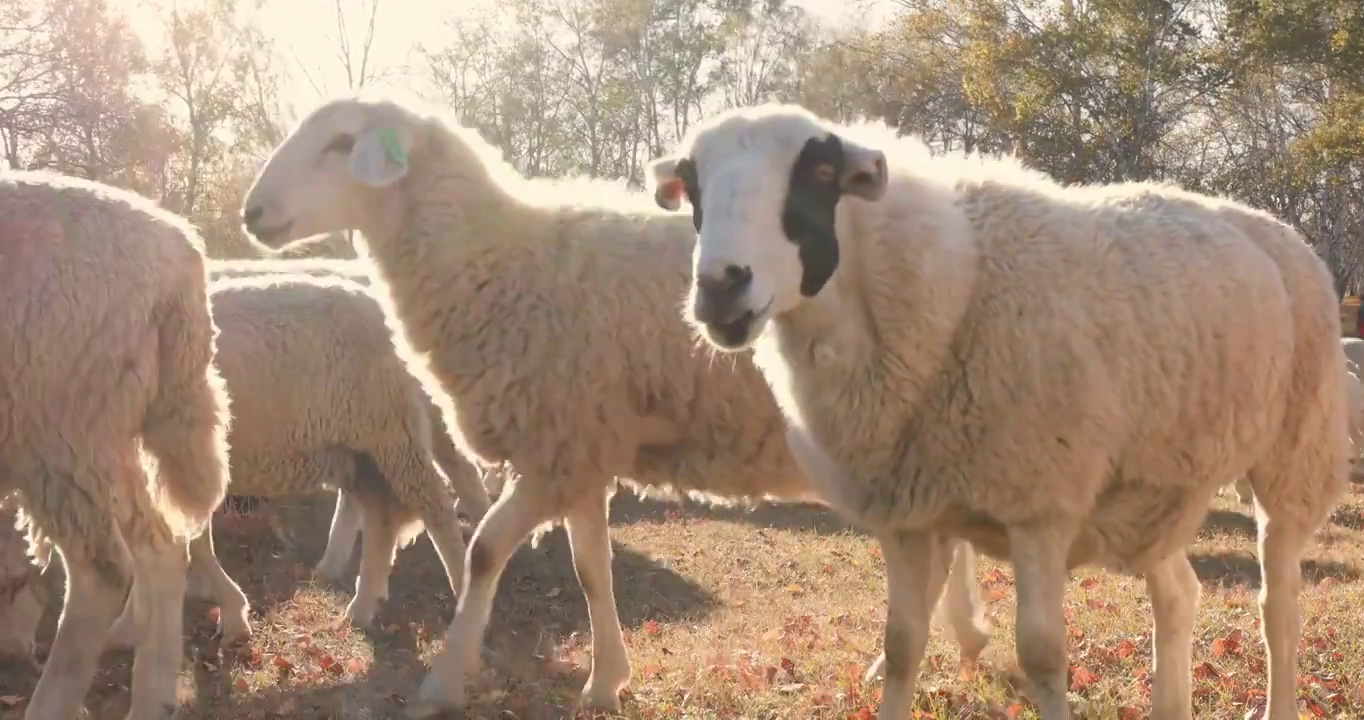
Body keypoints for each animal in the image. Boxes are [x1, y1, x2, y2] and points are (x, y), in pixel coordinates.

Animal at [0, 170, 230, 720]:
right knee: (161, 547)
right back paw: (153, 696)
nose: (10, 655)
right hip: (104, 434)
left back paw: (52, 703)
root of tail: (180, 250)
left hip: (57, 430)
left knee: (102, 571)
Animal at [237, 90, 992, 714]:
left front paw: (445, 680)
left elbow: (484, 550)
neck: (495, 262)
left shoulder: (557, 450)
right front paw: (606, 681)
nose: (251, 213)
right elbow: (590, 570)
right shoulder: (581, 449)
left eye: (339, 142)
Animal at [651, 102, 1353, 720]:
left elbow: (1042, 655)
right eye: (692, 184)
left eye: (820, 174)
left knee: (1279, 607)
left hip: (1296, 453)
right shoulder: (907, 514)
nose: (720, 286)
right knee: (1178, 596)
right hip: (1157, 485)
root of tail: (1271, 226)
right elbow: (901, 646)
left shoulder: (1040, 504)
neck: (951, 287)